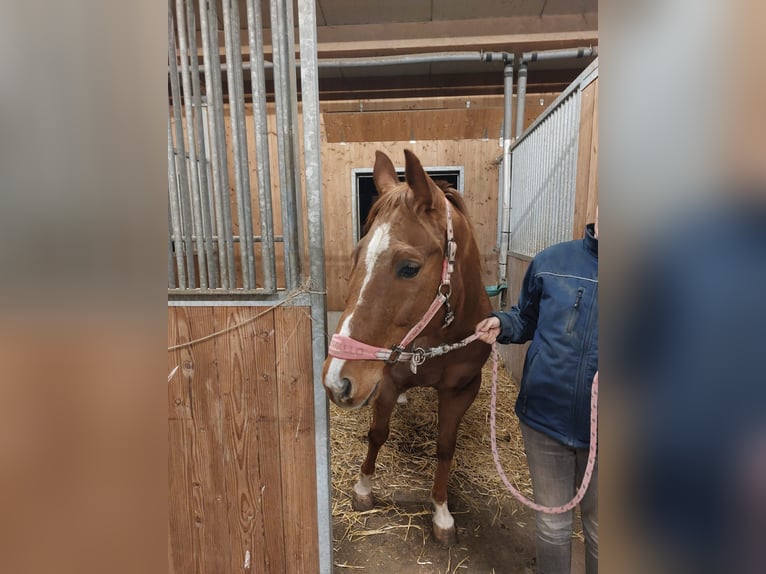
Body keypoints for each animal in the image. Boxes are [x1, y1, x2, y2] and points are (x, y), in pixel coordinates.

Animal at [322, 149, 492, 546]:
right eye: (356, 256)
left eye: (409, 267)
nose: (337, 381)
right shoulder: (387, 380)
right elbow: (377, 434)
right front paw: (364, 488)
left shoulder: (463, 389)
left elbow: (445, 447)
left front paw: (442, 513)